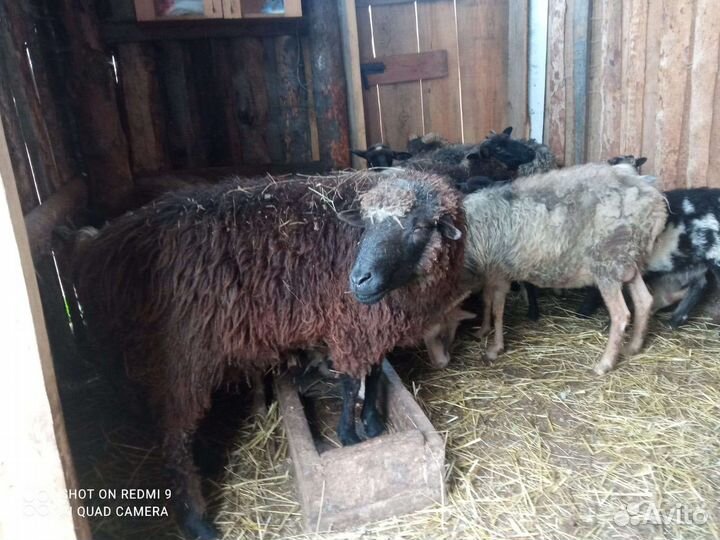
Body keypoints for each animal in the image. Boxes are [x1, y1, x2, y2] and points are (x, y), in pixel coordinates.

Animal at [72, 169, 466, 540]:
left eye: (419, 226)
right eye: (366, 224)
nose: (359, 280)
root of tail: (99, 250)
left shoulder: (374, 325)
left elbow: (373, 373)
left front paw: (371, 423)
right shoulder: (351, 325)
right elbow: (352, 383)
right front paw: (350, 436)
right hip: (177, 361)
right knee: (175, 441)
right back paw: (197, 521)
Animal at [424, 163, 667, 374]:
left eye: (440, 331)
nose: (438, 364)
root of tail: (654, 200)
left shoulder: (500, 272)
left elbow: (497, 310)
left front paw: (495, 348)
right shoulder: (489, 274)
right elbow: (486, 301)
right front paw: (483, 330)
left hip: (608, 261)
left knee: (620, 314)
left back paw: (604, 364)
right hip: (628, 259)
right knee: (644, 301)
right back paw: (633, 346)